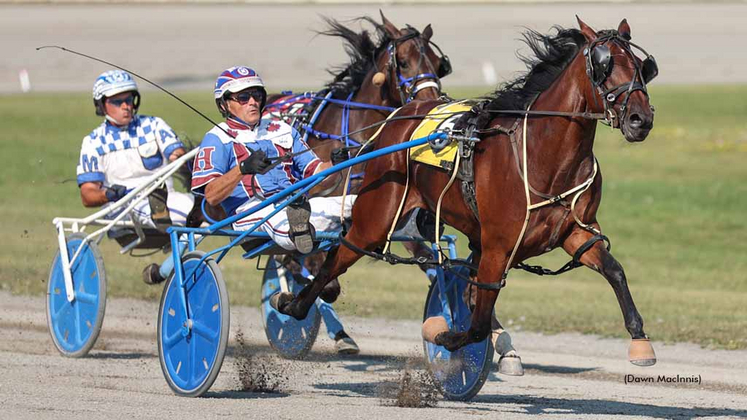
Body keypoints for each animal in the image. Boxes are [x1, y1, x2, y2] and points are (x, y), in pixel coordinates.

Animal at [274, 17, 660, 364]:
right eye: (604, 65)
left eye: (642, 67)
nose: (640, 119)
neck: (542, 155)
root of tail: (401, 115)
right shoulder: (497, 246)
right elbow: (475, 322)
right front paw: (445, 336)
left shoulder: (576, 233)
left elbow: (614, 270)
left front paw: (640, 340)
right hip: (377, 216)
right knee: (337, 254)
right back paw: (293, 303)